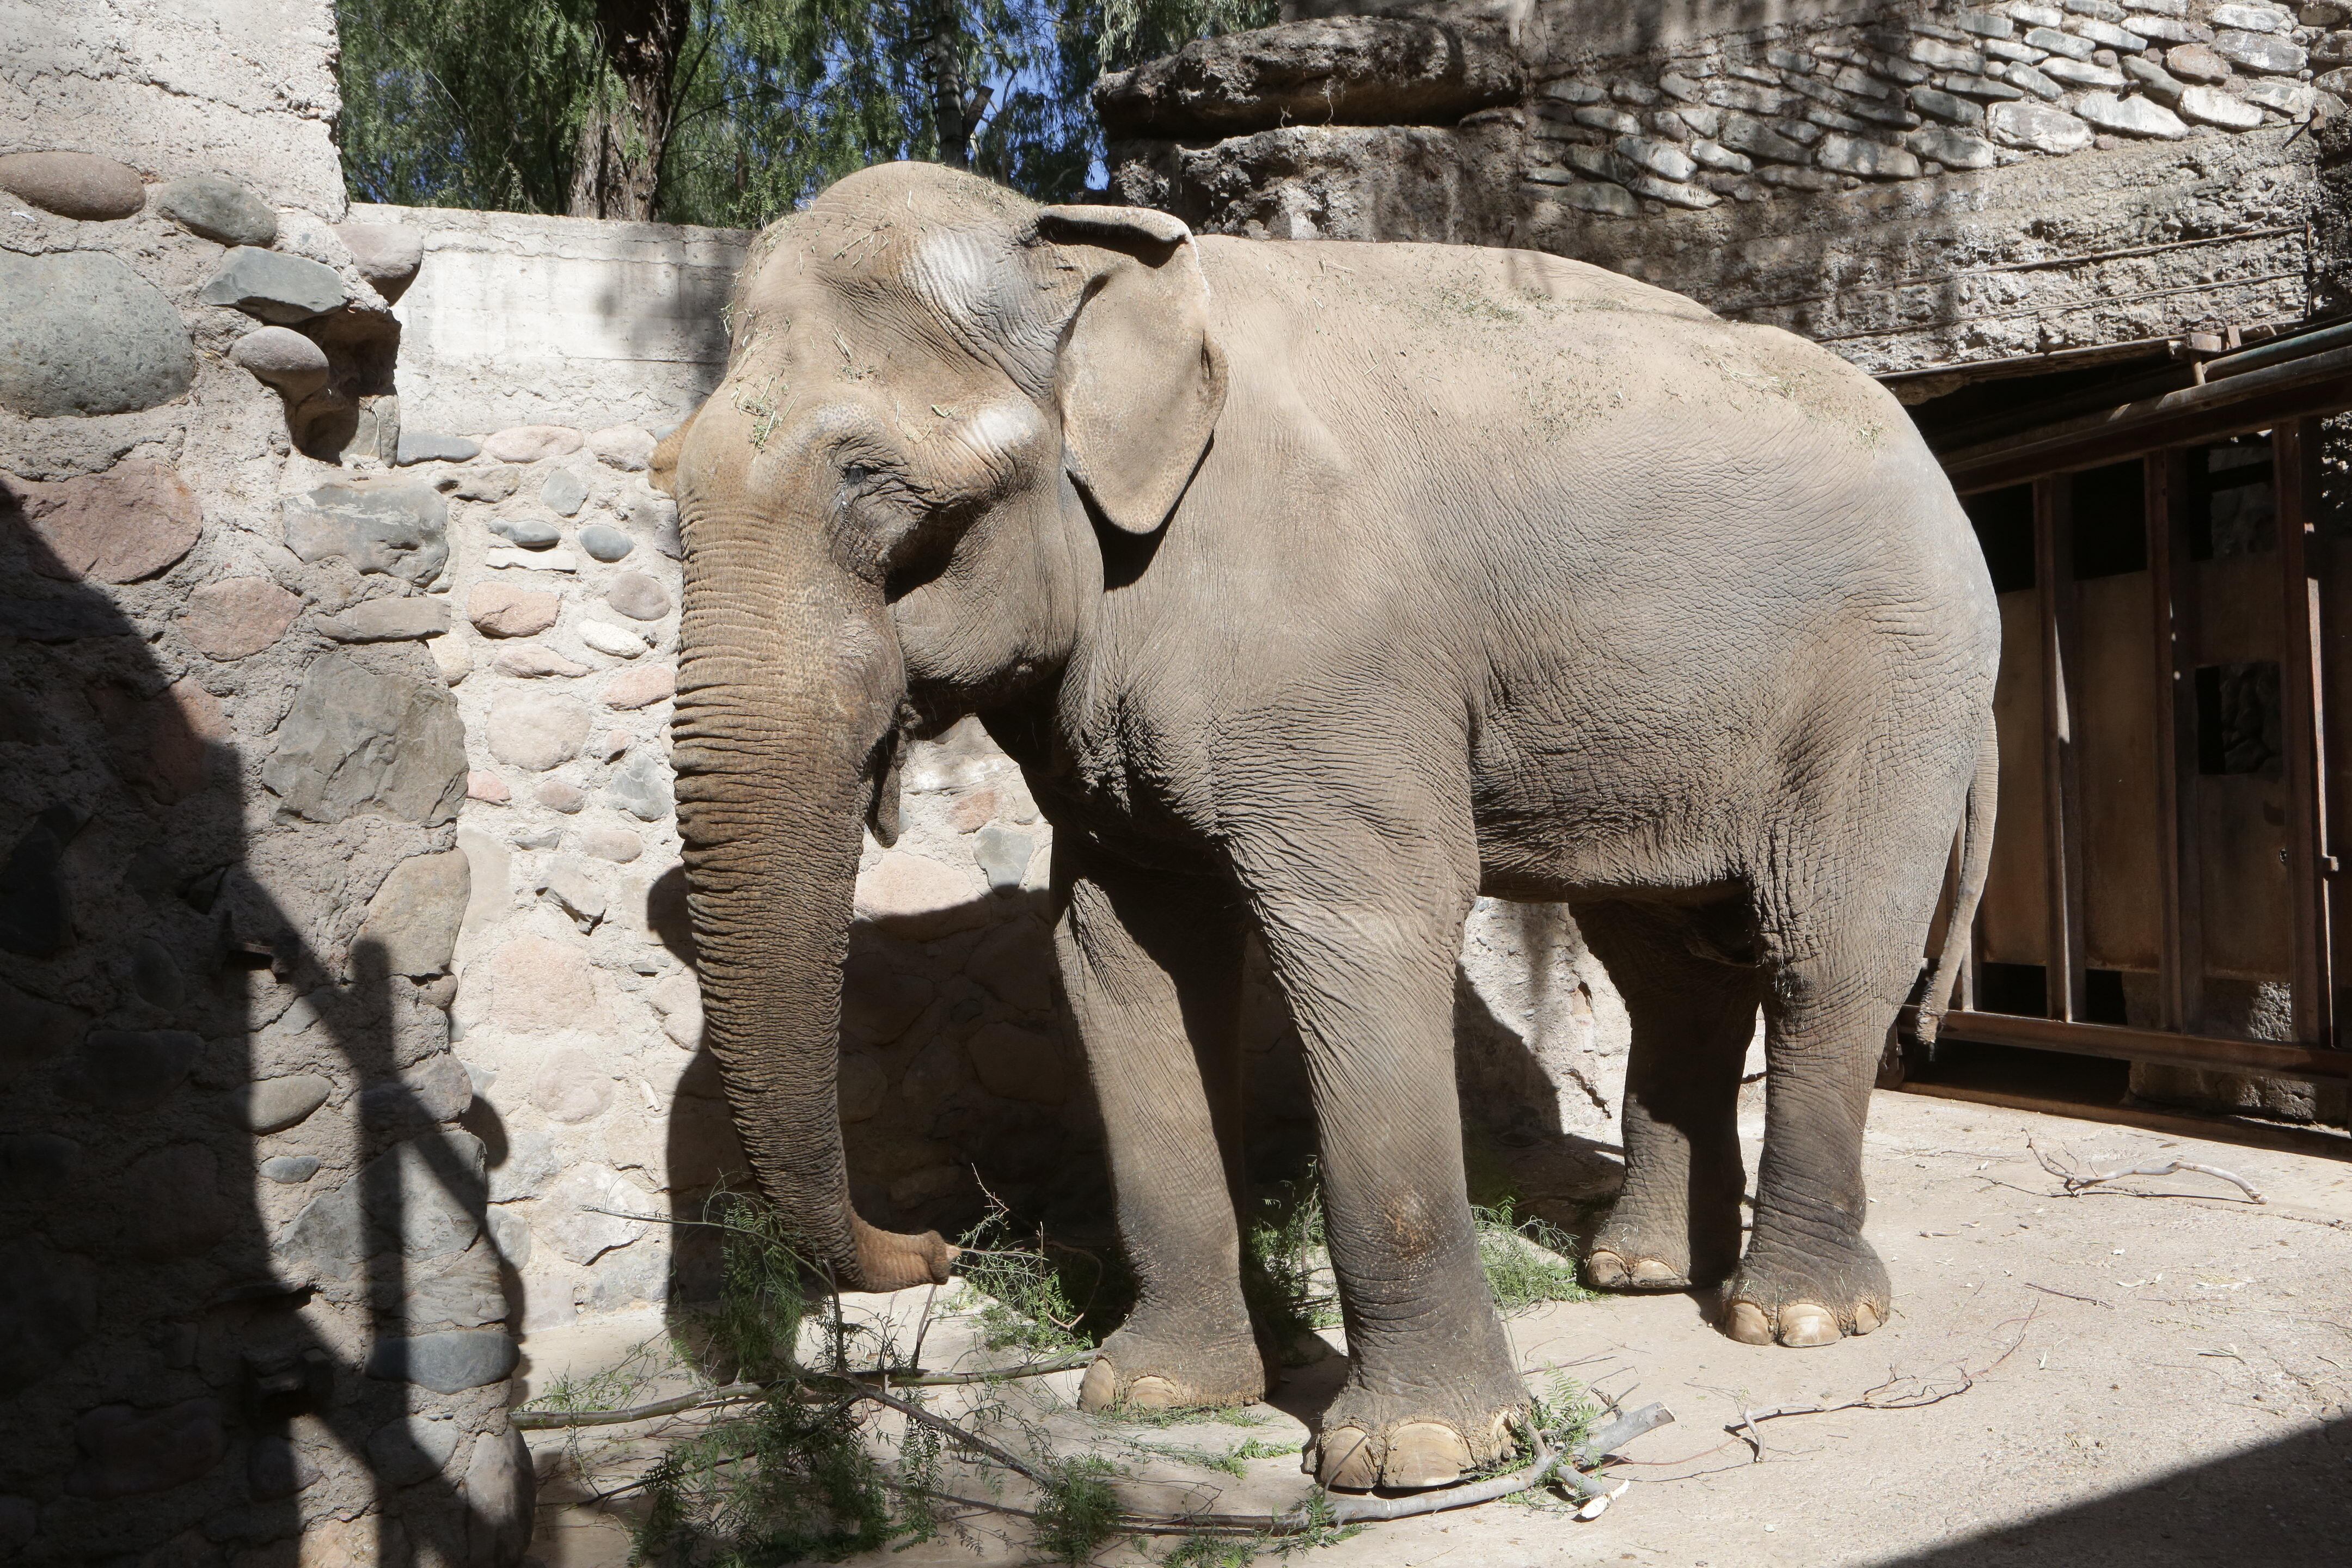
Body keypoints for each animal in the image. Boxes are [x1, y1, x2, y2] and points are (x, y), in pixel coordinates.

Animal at [653, 160, 1994, 1495]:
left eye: (870, 481)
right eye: (668, 479)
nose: (936, 1245)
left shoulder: (1334, 660)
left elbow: (1364, 932)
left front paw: (1417, 1458)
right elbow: (1119, 956)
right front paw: (1154, 1395)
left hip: (1892, 685)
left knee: (1825, 951)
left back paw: (1796, 1317)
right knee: (1670, 968)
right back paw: (1642, 1273)